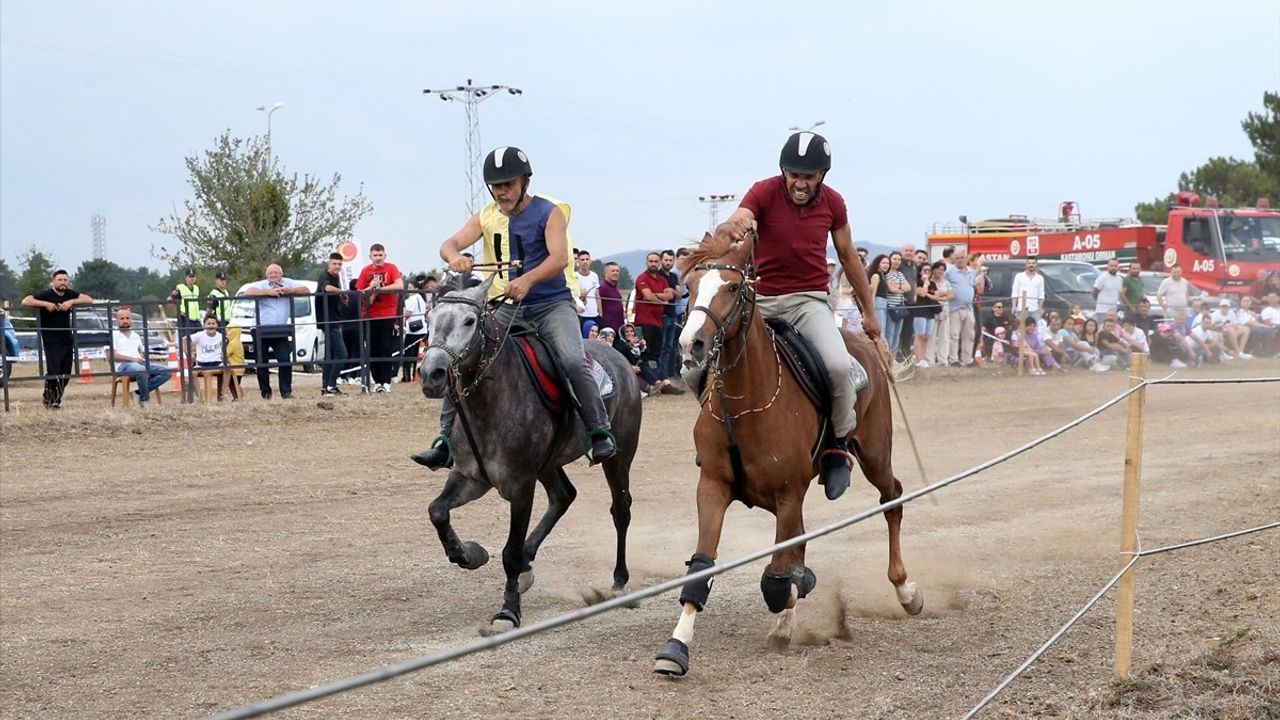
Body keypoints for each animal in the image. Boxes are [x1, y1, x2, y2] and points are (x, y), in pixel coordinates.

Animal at [417, 278, 640, 630]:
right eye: (430, 319)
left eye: (469, 321)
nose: (431, 373)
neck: (492, 400)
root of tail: (620, 359)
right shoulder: (470, 477)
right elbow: (437, 511)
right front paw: (468, 554)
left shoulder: (521, 485)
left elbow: (508, 552)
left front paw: (508, 611)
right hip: (548, 464)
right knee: (564, 496)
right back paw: (528, 561)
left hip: (619, 457)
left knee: (620, 510)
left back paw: (619, 577)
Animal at [650, 233, 921, 676]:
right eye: (688, 287)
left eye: (732, 287)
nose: (692, 344)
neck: (744, 404)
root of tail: (861, 343)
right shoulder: (713, 487)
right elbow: (704, 565)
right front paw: (676, 646)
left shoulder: (788, 493)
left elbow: (777, 577)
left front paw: (792, 598)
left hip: (876, 454)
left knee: (892, 499)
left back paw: (905, 590)